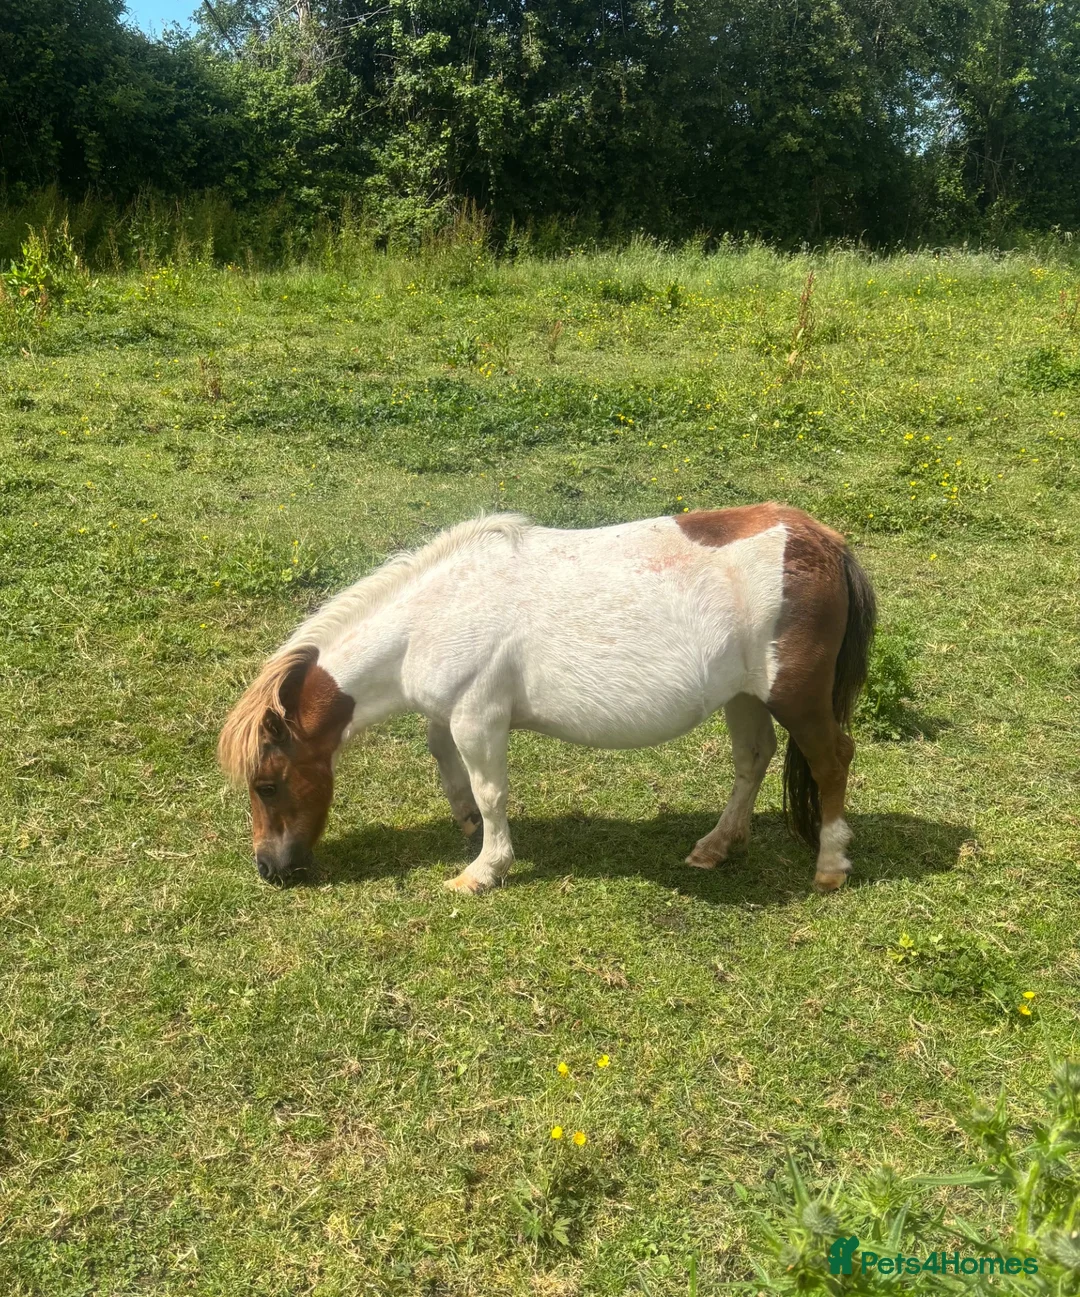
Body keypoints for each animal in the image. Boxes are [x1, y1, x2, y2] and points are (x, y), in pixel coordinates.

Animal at [218, 505, 876, 894]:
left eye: (267, 785)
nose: (268, 868)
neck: (431, 614)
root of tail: (825, 540)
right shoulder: (451, 713)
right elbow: (443, 758)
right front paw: (465, 823)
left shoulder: (478, 717)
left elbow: (491, 791)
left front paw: (484, 869)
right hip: (744, 696)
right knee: (753, 759)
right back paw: (716, 846)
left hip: (797, 697)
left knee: (831, 760)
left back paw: (830, 866)